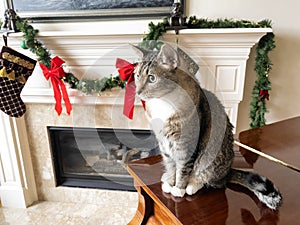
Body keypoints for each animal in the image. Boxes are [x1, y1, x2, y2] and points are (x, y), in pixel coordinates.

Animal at [132, 43, 282, 209]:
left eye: (152, 78)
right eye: (137, 76)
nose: (138, 92)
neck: (163, 102)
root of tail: (227, 172)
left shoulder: (186, 144)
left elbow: (183, 168)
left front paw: (179, 188)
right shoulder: (164, 143)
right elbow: (171, 165)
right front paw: (171, 181)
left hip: (210, 160)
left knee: (210, 180)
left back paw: (193, 185)